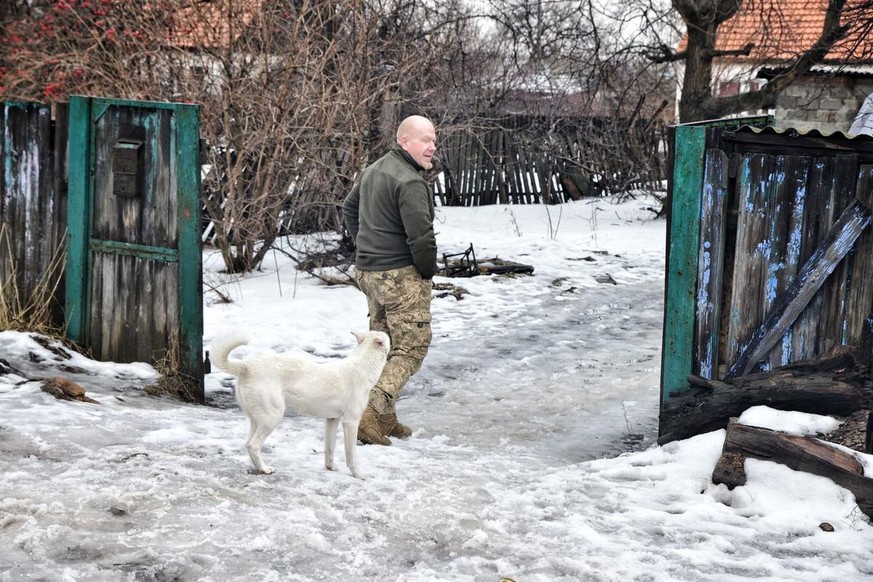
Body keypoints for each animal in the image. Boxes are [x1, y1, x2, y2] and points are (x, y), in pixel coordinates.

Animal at [208, 330, 388, 482]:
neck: (362, 365)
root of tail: (247, 366)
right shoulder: (350, 422)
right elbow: (351, 455)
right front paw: (358, 475)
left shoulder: (332, 420)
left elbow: (329, 448)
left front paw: (330, 467)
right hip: (272, 417)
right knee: (253, 445)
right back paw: (265, 469)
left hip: (257, 419)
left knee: (248, 444)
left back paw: (259, 467)